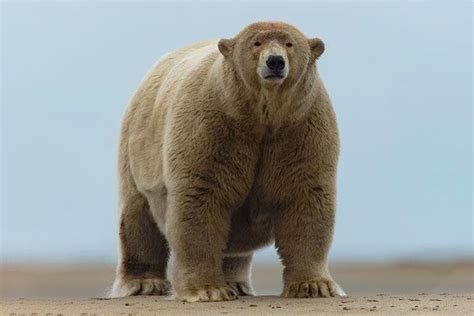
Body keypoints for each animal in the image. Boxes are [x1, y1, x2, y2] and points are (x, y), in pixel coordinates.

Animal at [110, 21, 344, 302]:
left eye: (289, 43)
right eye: (256, 43)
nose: (275, 61)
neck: (261, 116)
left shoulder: (301, 128)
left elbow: (306, 198)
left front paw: (314, 286)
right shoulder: (212, 126)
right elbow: (201, 197)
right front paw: (207, 290)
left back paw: (237, 283)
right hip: (138, 150)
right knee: (137, 216)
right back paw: (144, 283)